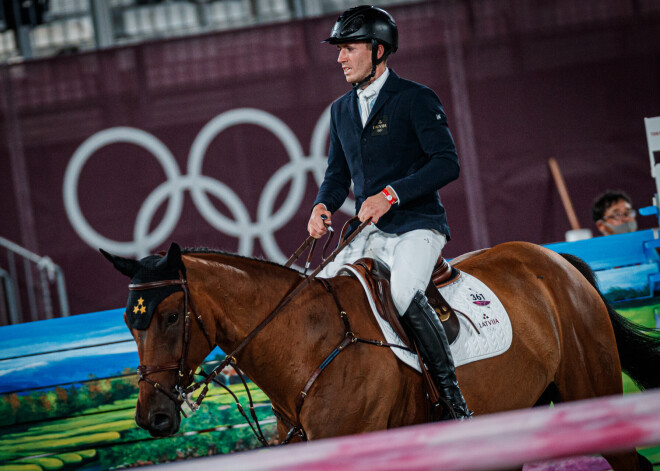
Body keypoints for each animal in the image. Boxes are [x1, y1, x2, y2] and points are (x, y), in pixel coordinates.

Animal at [102, 242, 660, 470]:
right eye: (130, 321)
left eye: (171, 316)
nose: (153, 417)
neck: (307, 347)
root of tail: (556, 263)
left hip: (590, 392)